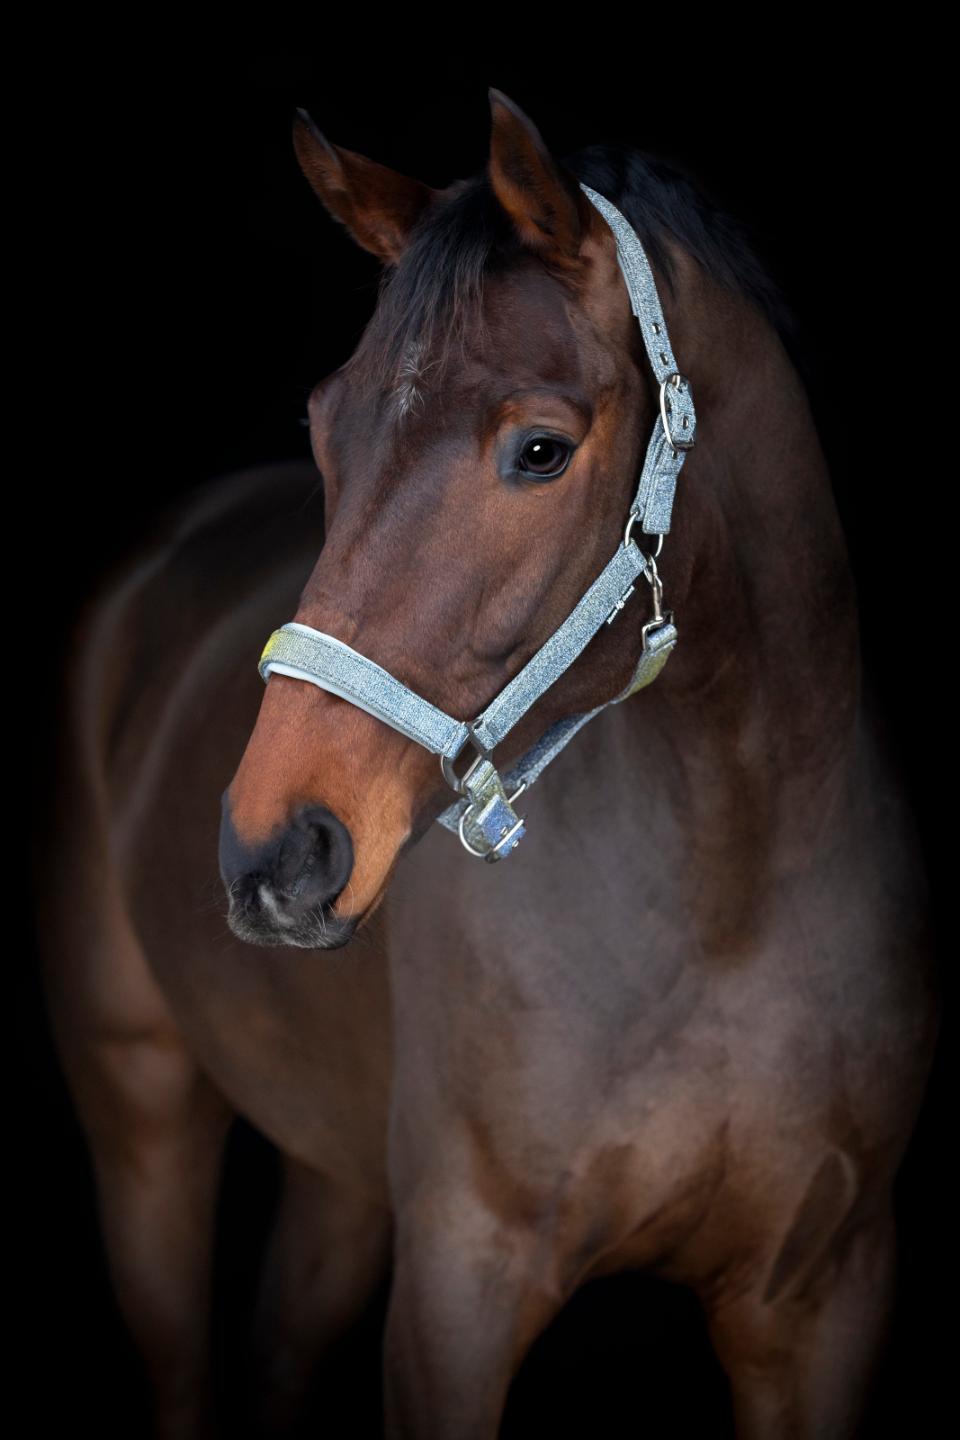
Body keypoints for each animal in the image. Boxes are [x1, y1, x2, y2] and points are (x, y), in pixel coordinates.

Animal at [34, 87, 940, 1439]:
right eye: (324, 426)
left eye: (541, 450)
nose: (274, 854)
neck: (731, 894)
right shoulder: (460, 1287)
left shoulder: (824, 1297)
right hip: (142, 1117)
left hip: (336, 1174)